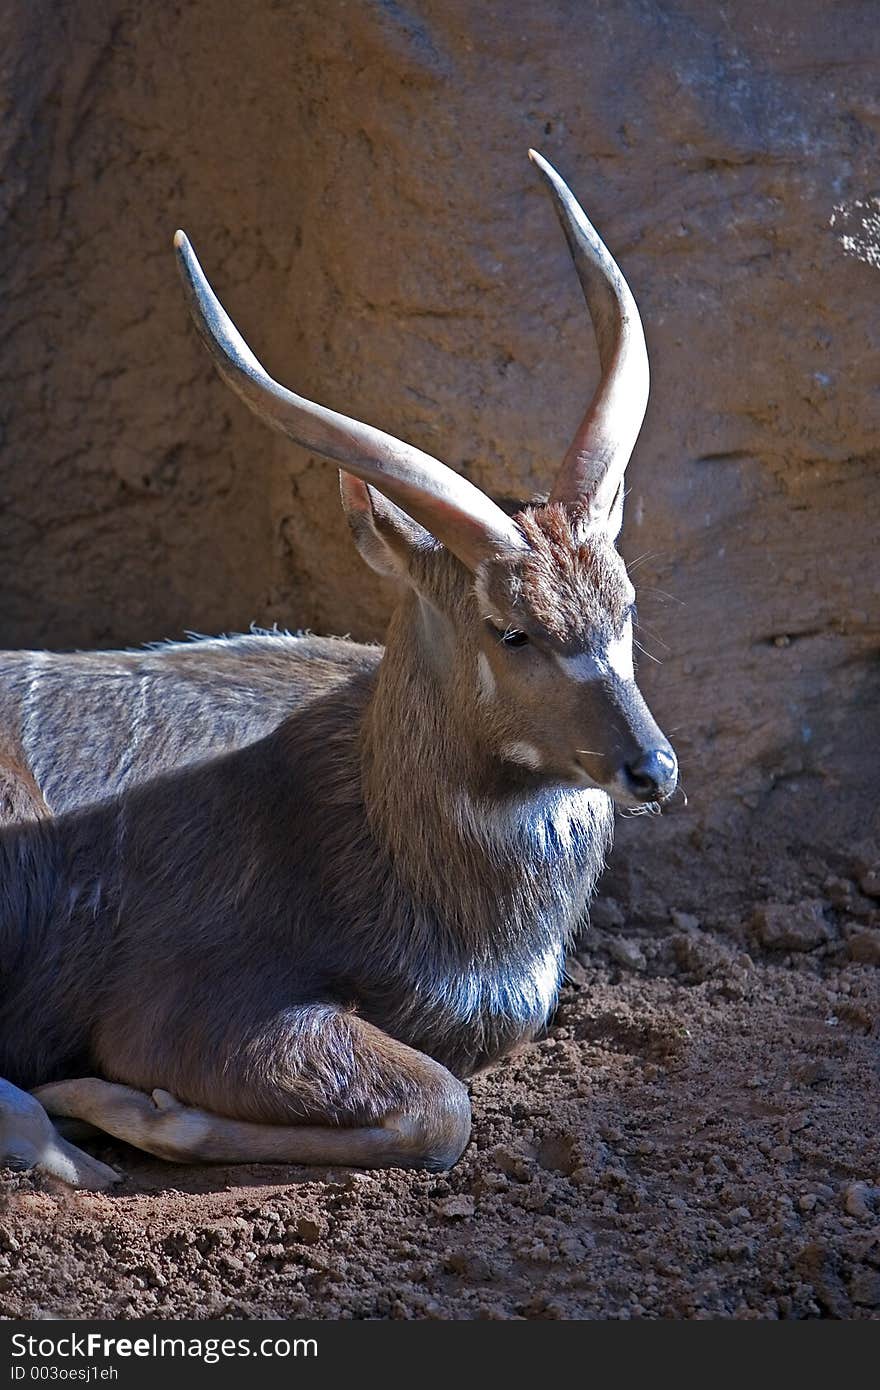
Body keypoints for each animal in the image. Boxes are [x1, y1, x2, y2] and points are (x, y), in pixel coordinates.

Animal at [0, 154, 678, 1195]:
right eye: (511, 629)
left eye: (627, 604)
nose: (652, 768)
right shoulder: (184, 1009)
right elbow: (442, 1107)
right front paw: (127, 1112)